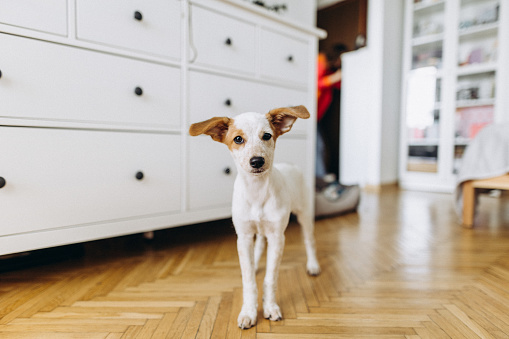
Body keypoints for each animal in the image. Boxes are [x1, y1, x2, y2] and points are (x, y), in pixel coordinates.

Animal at [189, 105, 320, 330]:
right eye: (238, 139)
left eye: (267, 136)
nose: (257, 161)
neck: (257, 191)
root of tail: (291, 165)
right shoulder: (243, 236)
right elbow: (249, 280)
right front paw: (249, 311)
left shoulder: (277, 237)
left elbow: (270, 278)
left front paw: (270, 307)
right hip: (257, 231)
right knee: (259, 244)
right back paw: (257, 261)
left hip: (304, 214)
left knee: (309, 241)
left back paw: (312, 265)